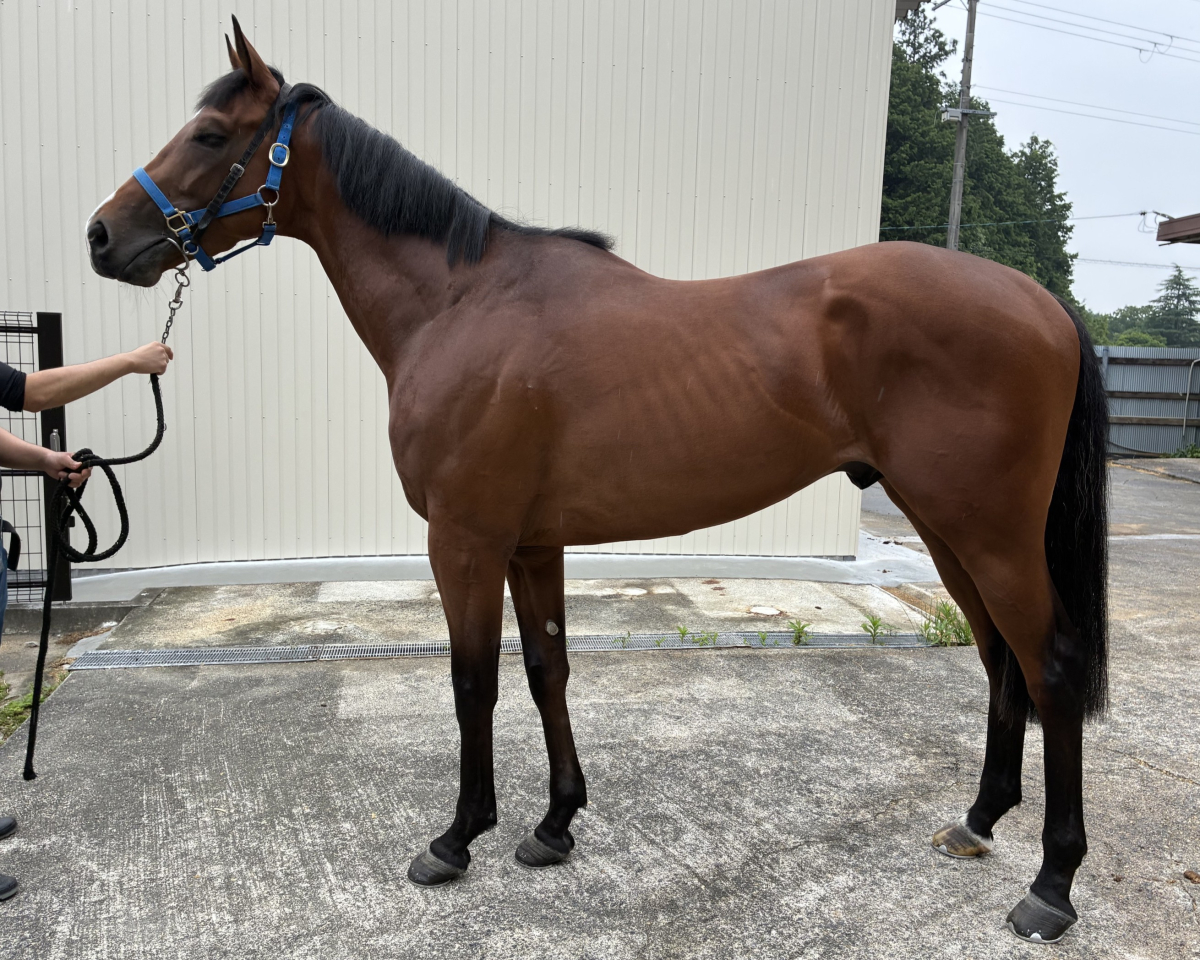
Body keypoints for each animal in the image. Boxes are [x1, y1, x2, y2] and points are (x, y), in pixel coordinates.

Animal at [85, 19, 1108, 945]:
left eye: (209, 135)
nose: (101, 237)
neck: (459, 304)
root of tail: (1043, 302)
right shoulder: (533, 542)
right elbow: (548, 671)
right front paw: (553, 826)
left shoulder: (464, 539)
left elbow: (472, 680)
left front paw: (456, 840)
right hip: (947, 529)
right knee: (1000, 660)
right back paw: (977, 822)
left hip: (990, 532)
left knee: (1051, 666)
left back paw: (1051, 887)